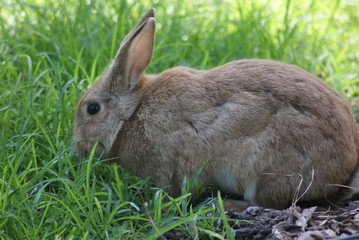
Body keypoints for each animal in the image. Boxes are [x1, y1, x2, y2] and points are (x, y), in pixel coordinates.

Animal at [71, 8, 358, 209]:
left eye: (93, 109)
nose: (77, 147)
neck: (132, 114)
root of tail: (344, 172)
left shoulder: (173, 163)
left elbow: (176, 190)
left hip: (264, 167)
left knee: (266, 202)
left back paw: (225, 205)